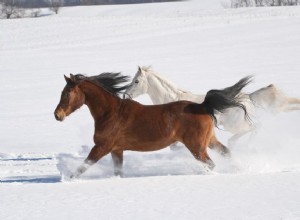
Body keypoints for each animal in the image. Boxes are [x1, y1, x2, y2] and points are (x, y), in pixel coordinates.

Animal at [54, 72, 251, 179]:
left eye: (67, 93)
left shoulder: (102, 147)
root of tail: (203, 106)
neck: (111, 113)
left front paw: (67, 179)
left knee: (210, 163)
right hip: (209, 141)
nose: (57, 115)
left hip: (196, 146)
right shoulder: (117, 150)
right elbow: (118, 171)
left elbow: (82, 167)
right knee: (226, 152)